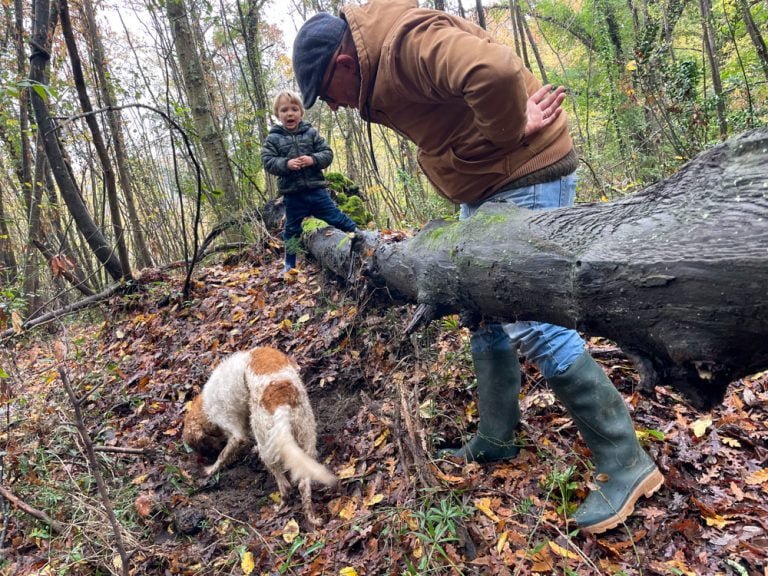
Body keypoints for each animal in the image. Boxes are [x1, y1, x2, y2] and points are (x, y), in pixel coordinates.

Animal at [183, 346, 336, 528]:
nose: (204, 458)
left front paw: (210, 469)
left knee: (286, 487)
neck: (205, 408)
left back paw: (279, 507)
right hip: (306, 439)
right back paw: (311, 518)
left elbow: (223, 456)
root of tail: (281, 402)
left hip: (267, 449)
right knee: (303, 484)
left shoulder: (234, 433)